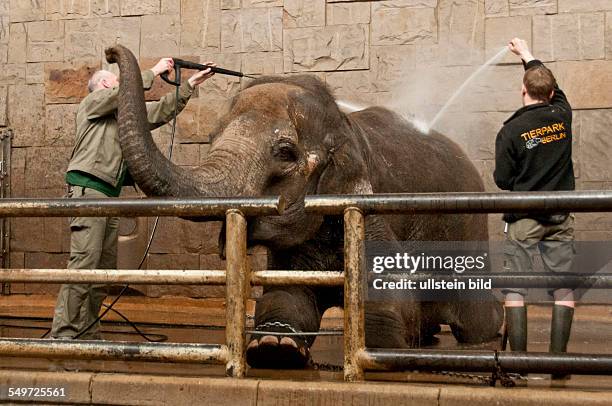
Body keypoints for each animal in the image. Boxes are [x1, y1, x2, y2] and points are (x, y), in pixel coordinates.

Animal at [106, 46, 502, 370]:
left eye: (285, 152)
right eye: (212, 138)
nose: (111, 52)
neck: (345, 125)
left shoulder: (368, 206)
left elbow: (390, 293)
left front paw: (383, 349)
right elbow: (286, 297)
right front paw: (275, 347)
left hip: (468, 231)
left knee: (476, 317)